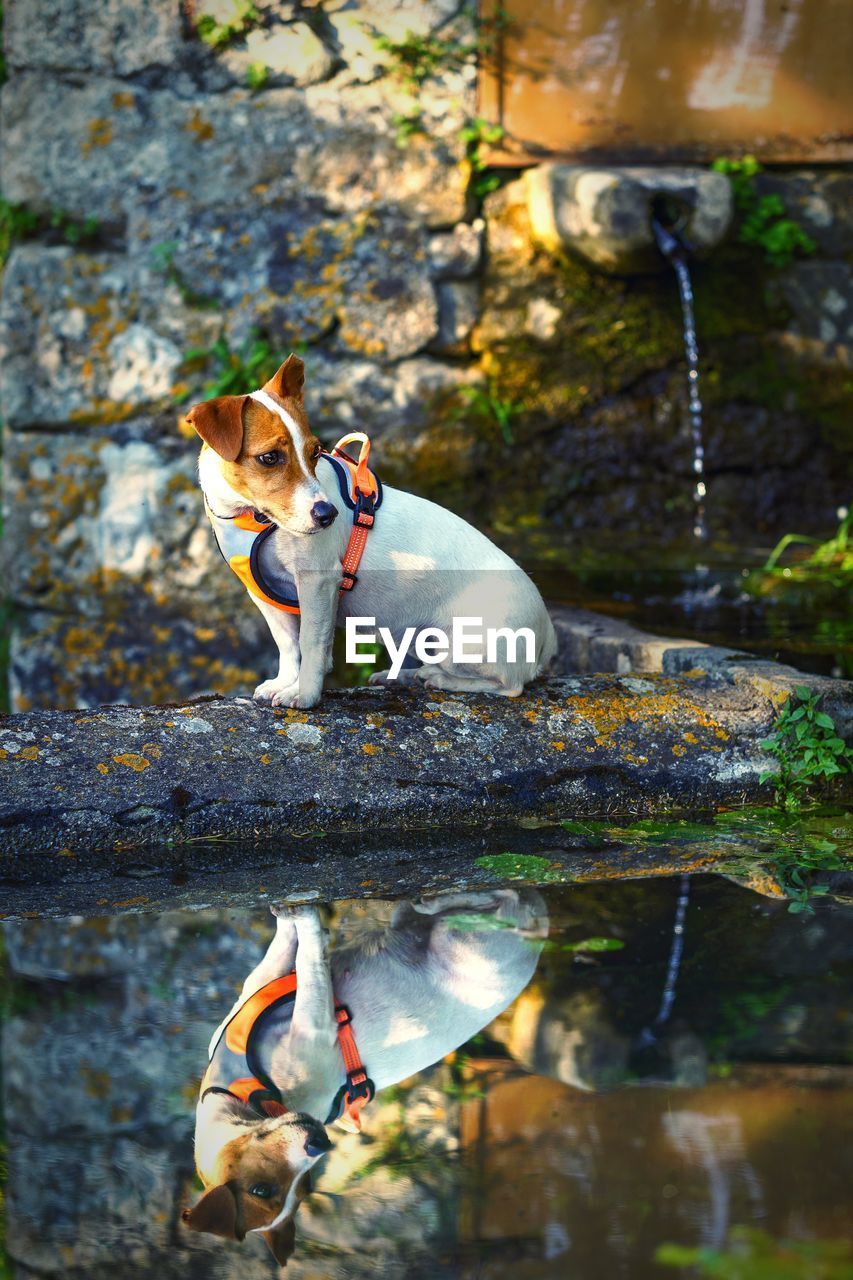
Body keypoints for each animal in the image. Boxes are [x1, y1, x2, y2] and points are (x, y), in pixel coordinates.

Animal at [183, 896, 548, 1264]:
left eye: (302, 1186)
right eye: (263, 1189)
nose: (320, 1142)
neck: (235, 1091)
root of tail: (537, 935)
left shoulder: (294, 1002)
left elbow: (300, 953)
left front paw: (298, 918)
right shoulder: (291, 1003)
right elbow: (298, 955)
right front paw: (300, 923)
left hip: (465, 940)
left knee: (498, 903)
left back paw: (437, 901)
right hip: (460, 938)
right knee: (493, 904)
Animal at [186, 353, 558, 711]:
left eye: (315, 452)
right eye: (269, 457)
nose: (328, 514)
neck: (252, 518)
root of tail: (547, 632)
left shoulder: (318, 581)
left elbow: (311, 643)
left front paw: (304, 694)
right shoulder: (264, 595)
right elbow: (288, 645)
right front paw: (284, 681)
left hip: (470, 643)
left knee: (509, 684)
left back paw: (440, 679)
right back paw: (410, 675)